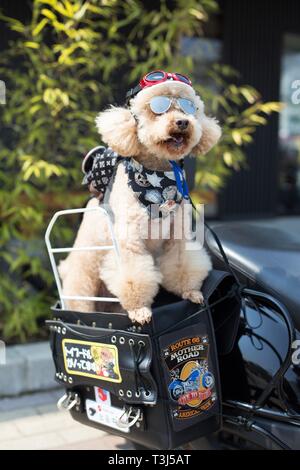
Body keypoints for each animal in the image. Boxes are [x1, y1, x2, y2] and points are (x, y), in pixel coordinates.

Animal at [59, 71, 220, 324]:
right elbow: (134, 274)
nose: (182, 122)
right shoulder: (130, 240)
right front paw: (140, 310)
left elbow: (181, 263)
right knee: (80, 301)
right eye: (158, 108)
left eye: (188, 107)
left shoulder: (177, 235)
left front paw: (190, 291)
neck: (158, 181)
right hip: (84, 279)